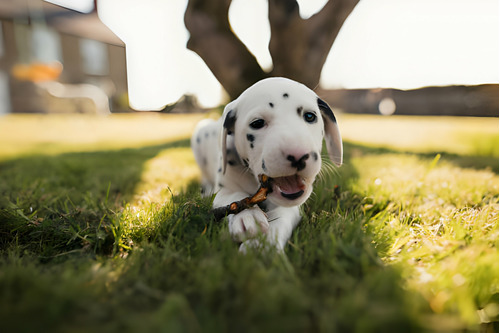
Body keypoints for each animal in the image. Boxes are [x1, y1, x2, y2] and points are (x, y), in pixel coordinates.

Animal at [189, 76, 342, 250]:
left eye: (310, 116)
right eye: (257, 123)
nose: (298, 155)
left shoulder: (292, 206)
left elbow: (282, 215)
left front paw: (263, 245)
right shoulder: (224, 190)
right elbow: (233, 196)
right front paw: (247, 216)